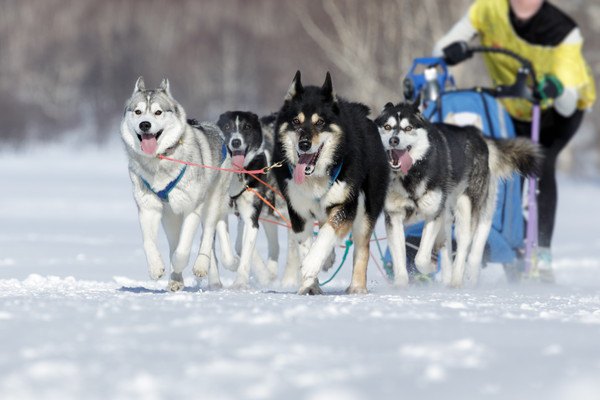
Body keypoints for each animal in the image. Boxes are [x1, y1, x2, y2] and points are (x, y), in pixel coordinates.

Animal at [120, 77, 232, 290]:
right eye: (138, 111)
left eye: (158, 112)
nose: (145, 124)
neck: (159, 161)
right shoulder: (149, 208)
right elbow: (149, 242)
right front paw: (156, 268)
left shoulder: (192, 208)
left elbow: (183, 250)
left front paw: (179, 266)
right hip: (170, 217)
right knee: (175, 241)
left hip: (212, 202)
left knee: (207, 235)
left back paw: (202, 267)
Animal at [272, 72, 390, 294]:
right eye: (295, 121)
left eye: (319, 122)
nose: (304, 144)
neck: (315, 178)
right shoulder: (299, 212)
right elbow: (305, 245)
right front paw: (309, 285)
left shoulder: (345, 205)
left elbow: (327, 233)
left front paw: (312, 263)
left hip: (366, 211)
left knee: (362, 247)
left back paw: (357, 287)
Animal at [376, 100, 540, 288]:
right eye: (387, 127)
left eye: (408, 128)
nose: (393, 140)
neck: (410, 175)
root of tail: (476, 134)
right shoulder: (394, 217)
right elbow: (400, 258)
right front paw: (401, 285)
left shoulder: (433, 214)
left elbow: (421, 258)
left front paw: (429, 266)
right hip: (448, 216)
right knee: (447, 247)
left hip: (466, 211)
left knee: (464, 248)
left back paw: (456, 281)